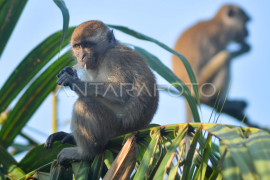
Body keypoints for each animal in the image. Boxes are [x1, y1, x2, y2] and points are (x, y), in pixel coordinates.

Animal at [44, 20, 158, 167]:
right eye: (78, 46)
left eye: (87, 45)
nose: (82, 56)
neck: (103, 55)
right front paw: (70, 73)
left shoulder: (114, 58)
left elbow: (120, 92)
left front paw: (73, 80)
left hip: (113, 128)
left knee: (84, 104)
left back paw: (86, 154)